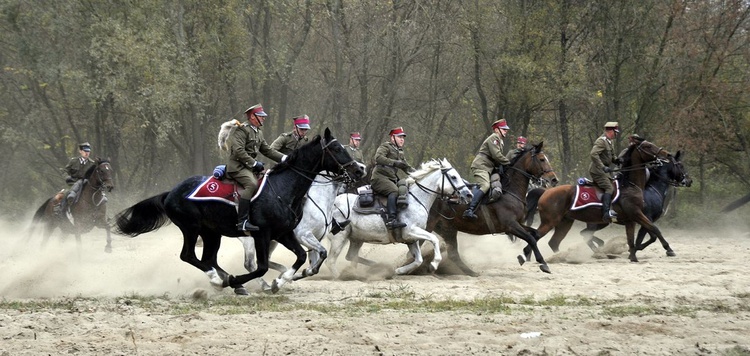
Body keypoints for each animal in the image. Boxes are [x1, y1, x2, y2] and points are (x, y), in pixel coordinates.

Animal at [112, 128, 368, 292]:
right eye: (337, 148)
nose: (359, 170)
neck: (283, 190)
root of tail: (171, 192)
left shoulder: (284, 234)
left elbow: (303, 256)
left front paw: (281, 281)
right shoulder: (266, 235)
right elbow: (263, 267)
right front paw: (266, 281)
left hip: (211, 233)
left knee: (209, 259)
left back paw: (227, 281)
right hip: (192, 228)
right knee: (190, 256)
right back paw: (221, 280)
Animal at [328, 157, 472, 276]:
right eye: (453, 177)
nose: (469, 194)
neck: (415, 200)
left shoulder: (411, 238)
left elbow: (418, 259)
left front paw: (399, 270)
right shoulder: (411, 231)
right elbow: (434, 239)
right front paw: (434, 264)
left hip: (357, 238)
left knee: (350, 256)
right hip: (339, 237)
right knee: (331, 260)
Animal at [426, 140, 560, 274]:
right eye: (542, 159)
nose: (554, 179)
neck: (508, 191)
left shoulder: (518, 224)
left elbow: (535, 234)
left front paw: (523, 256)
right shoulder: (511, 225)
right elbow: (530, 238)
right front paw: (542, 263)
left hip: (447, 228)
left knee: (453, 253)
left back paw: (470, 272)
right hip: (431, 224)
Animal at [524, 140, 672, 262]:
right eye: (648, 146)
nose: (667, 154)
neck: (629, 185)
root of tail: (546, 192)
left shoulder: (631, 219)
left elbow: (634, 238)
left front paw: (633, 256)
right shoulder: (636, 214)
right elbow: (654, 229)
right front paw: (668, 249)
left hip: (565, 223)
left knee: (554, 242)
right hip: (550, 221)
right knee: (537, 236)